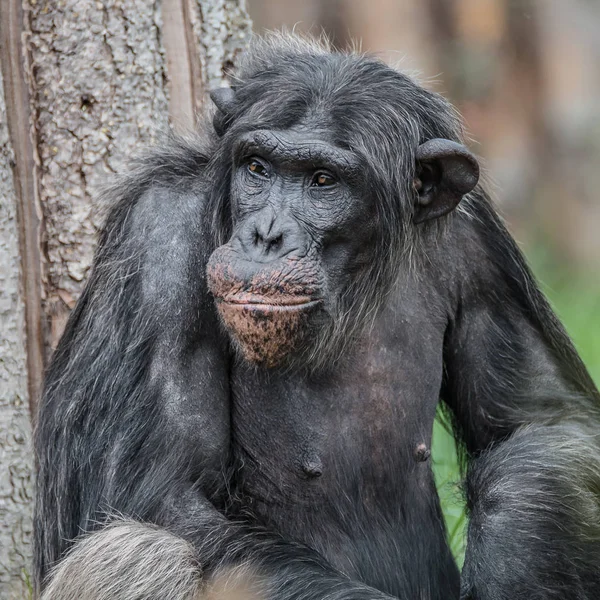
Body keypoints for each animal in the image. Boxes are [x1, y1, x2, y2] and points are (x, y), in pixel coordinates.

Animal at [35, 34, 600, 600]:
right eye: (258, 168)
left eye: (323, 180)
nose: (267, 234)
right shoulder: (156, 241)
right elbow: (159, 492)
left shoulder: (477, 240)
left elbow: (541, 419)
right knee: (139, 551)